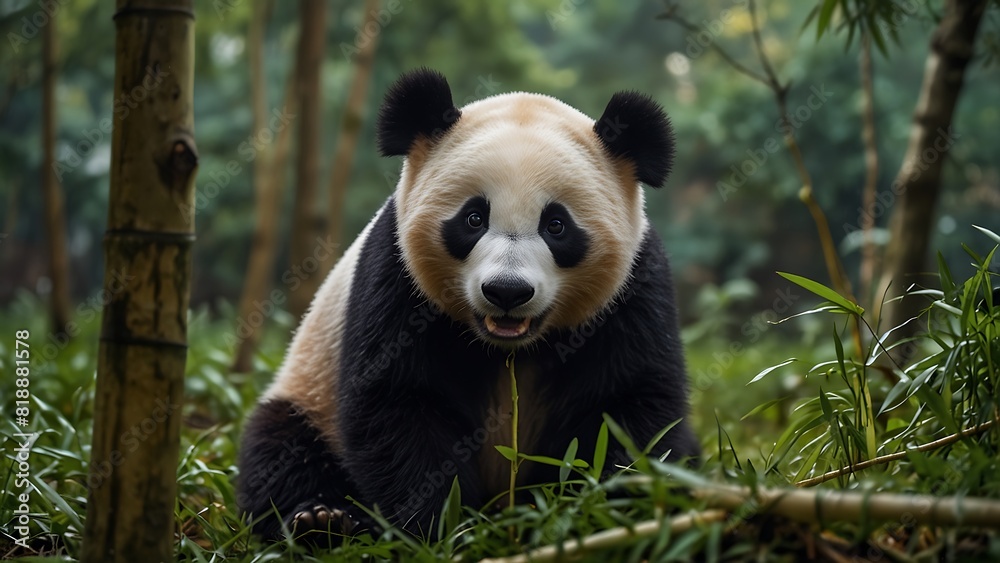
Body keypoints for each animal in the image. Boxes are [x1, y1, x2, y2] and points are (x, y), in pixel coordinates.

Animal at [237, 68, 699, 540]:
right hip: (311, 392)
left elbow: (628, 406)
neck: (509, 348)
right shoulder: (397, 276)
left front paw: (594, 508)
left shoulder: (633, 290)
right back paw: (321, 520)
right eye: (474, 218)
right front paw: (439, 525)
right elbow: (398, 401)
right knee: (280, 449)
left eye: (556, 225)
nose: (507, 291)